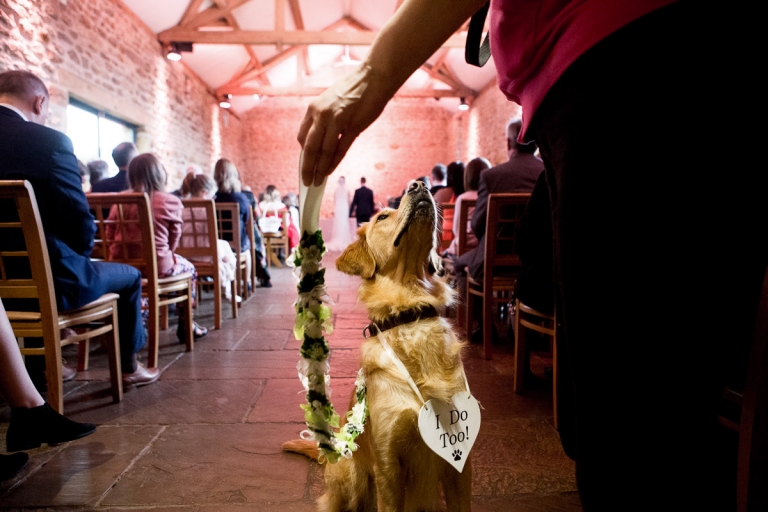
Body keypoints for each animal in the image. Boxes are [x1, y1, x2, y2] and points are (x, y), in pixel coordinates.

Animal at [284, 181, 472, 512]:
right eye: (382, 217)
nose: (419, 184)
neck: (410, 314)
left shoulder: (461, 463)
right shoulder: (387, 463)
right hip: (352, 477)